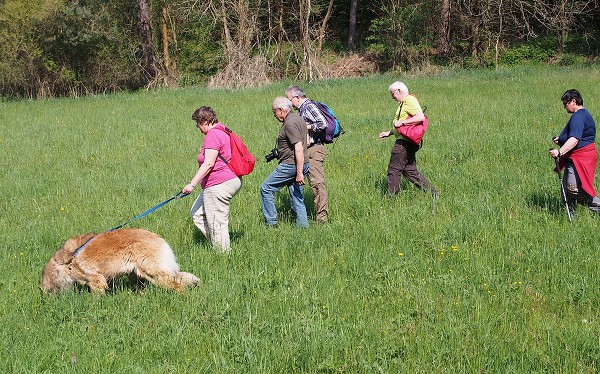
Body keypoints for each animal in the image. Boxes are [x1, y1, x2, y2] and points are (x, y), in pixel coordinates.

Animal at [42, 228, 202, 296]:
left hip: (153, 272)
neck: (65, 264)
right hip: (138, 273)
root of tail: (158, 238)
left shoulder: (96, 279)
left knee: (177, 285)